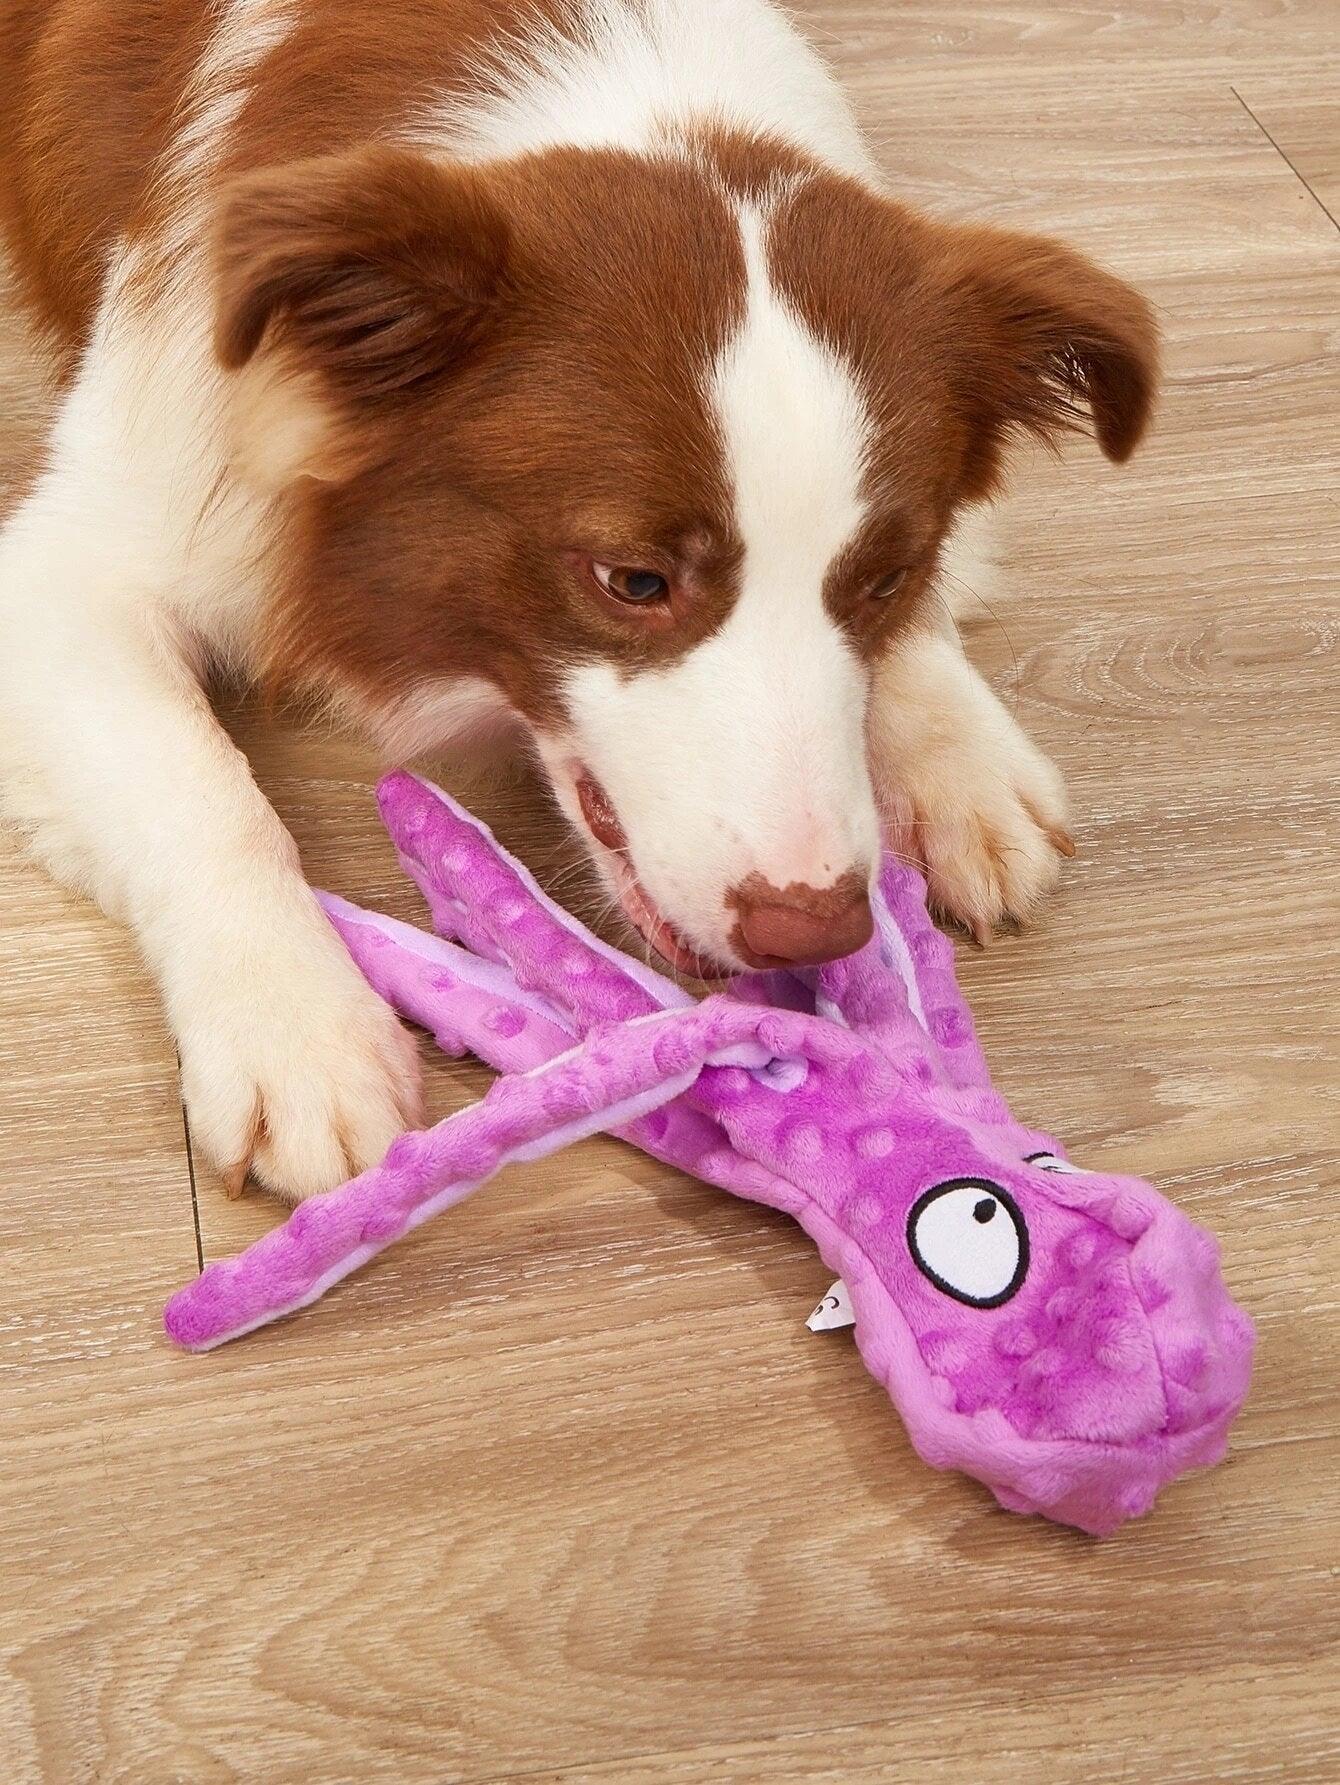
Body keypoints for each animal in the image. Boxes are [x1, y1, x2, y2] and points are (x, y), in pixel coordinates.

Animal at [0, 0, 1157, 1200]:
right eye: (633, 581)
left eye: (881, 578)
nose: (812, 931)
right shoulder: (83, 551)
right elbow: (202, 789)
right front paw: (297, 1030)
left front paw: (957, 762)